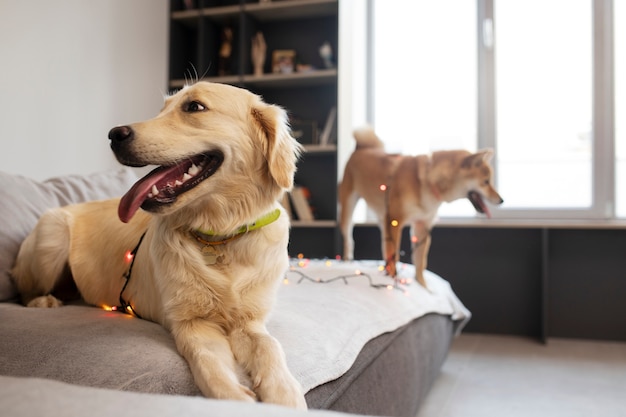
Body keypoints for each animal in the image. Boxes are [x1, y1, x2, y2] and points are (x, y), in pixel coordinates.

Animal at [10, 82, 308, 410]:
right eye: (162, 109)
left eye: (194, 107)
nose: (114, 134)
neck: (219, 235)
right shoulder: (190, 323)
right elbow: (209, 365)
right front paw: (235, 399)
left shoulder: (250, 322)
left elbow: (270, 348)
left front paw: (285, 394)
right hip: (53, 235)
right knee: (25, 293)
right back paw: (44, 301)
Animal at [336, 127, 502, 288]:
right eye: (486, 182)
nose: (501, 200)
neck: (427, 182)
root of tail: (361, 148)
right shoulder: (395, 221)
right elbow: (395, 254)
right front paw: (394, 279)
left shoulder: (422, 226)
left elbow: (420, 263)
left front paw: (423, 286)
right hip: (350, 207)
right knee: (350, 238)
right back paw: (348, 259)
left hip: (384, 218)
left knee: (385, 245)